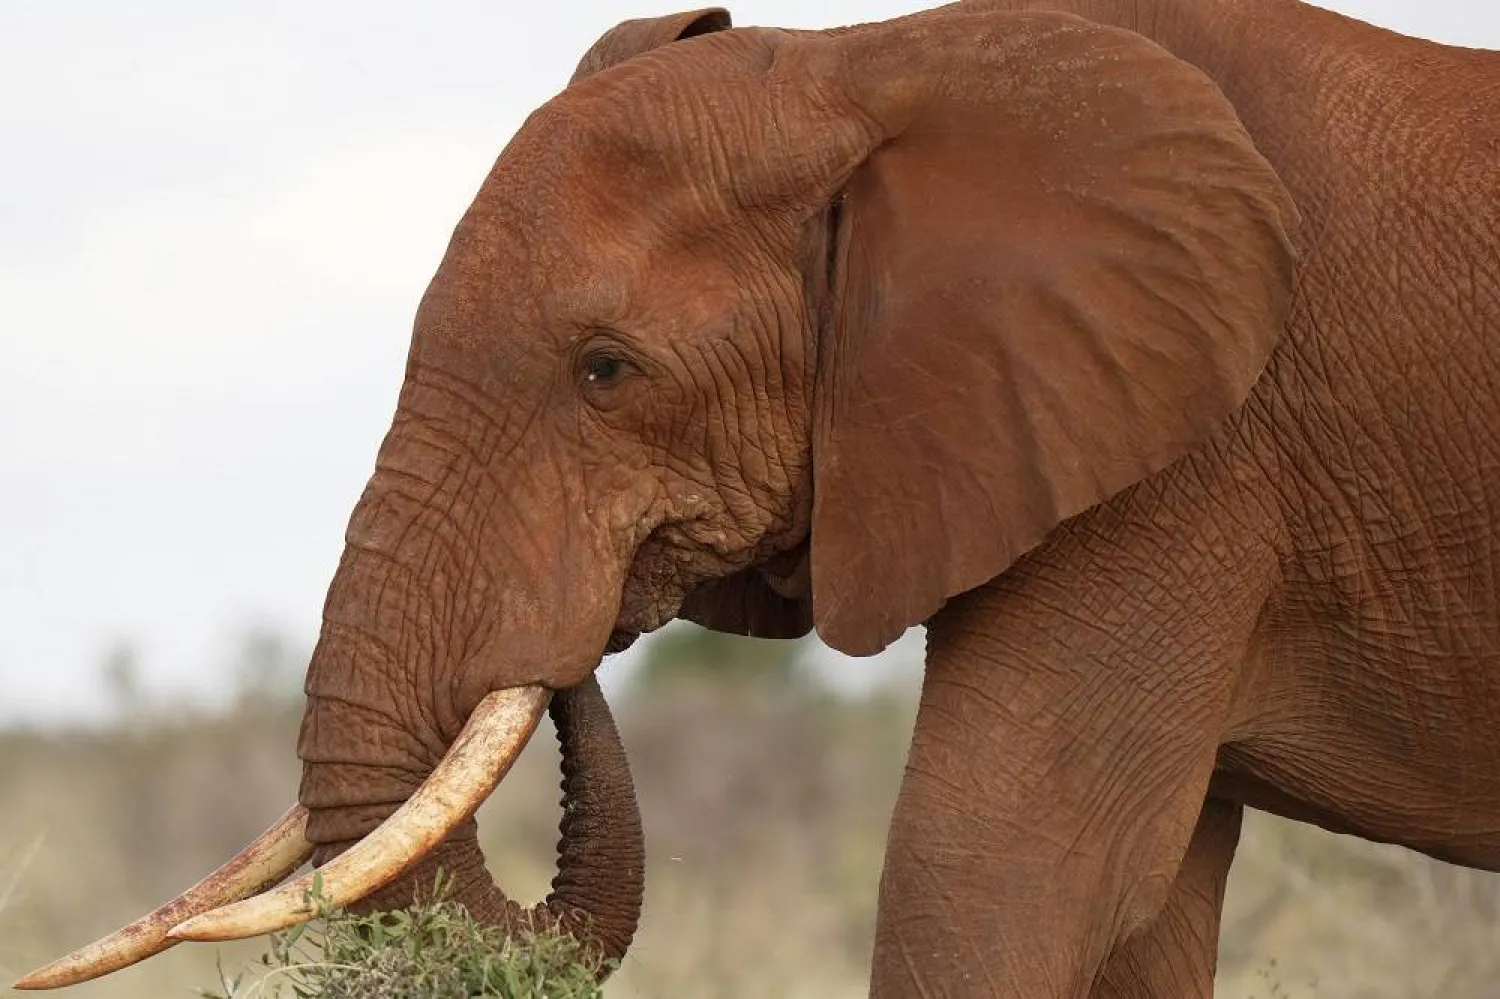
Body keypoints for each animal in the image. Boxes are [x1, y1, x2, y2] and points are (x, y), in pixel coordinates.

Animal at [17, 0, 1500, 995]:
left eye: (606, 370)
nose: (576, 640)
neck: (879, 60)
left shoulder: (1181, 468)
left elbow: (986, 880)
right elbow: (1138, 912)